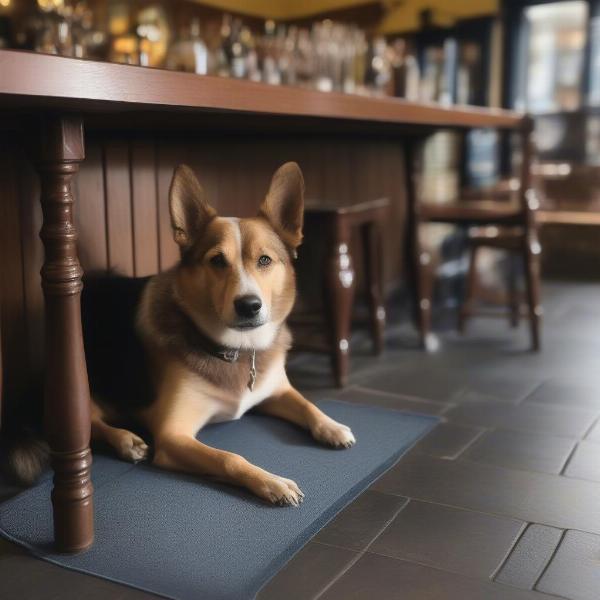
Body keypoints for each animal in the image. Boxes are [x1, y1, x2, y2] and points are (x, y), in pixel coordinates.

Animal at [84, 162, 356, 504]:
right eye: (216, 260)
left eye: (264, 260)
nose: (249, 306)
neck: (238, 350)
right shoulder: (173, 436)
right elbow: (229, 458)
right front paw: (272, 482)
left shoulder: (277, 390)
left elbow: (308, 404)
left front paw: (331, 426)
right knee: (91, 422)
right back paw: (125, 440)